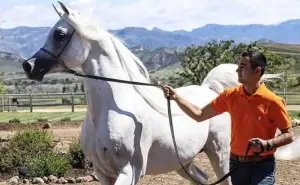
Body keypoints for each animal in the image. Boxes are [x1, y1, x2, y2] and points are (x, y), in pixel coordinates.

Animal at [20, 1, 298, 185]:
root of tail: (210, 91)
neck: (112, 109)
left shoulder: (129, 171)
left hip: (219, 155)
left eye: (59, 34)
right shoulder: (102, 173)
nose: (29, 66)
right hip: (183, 162)